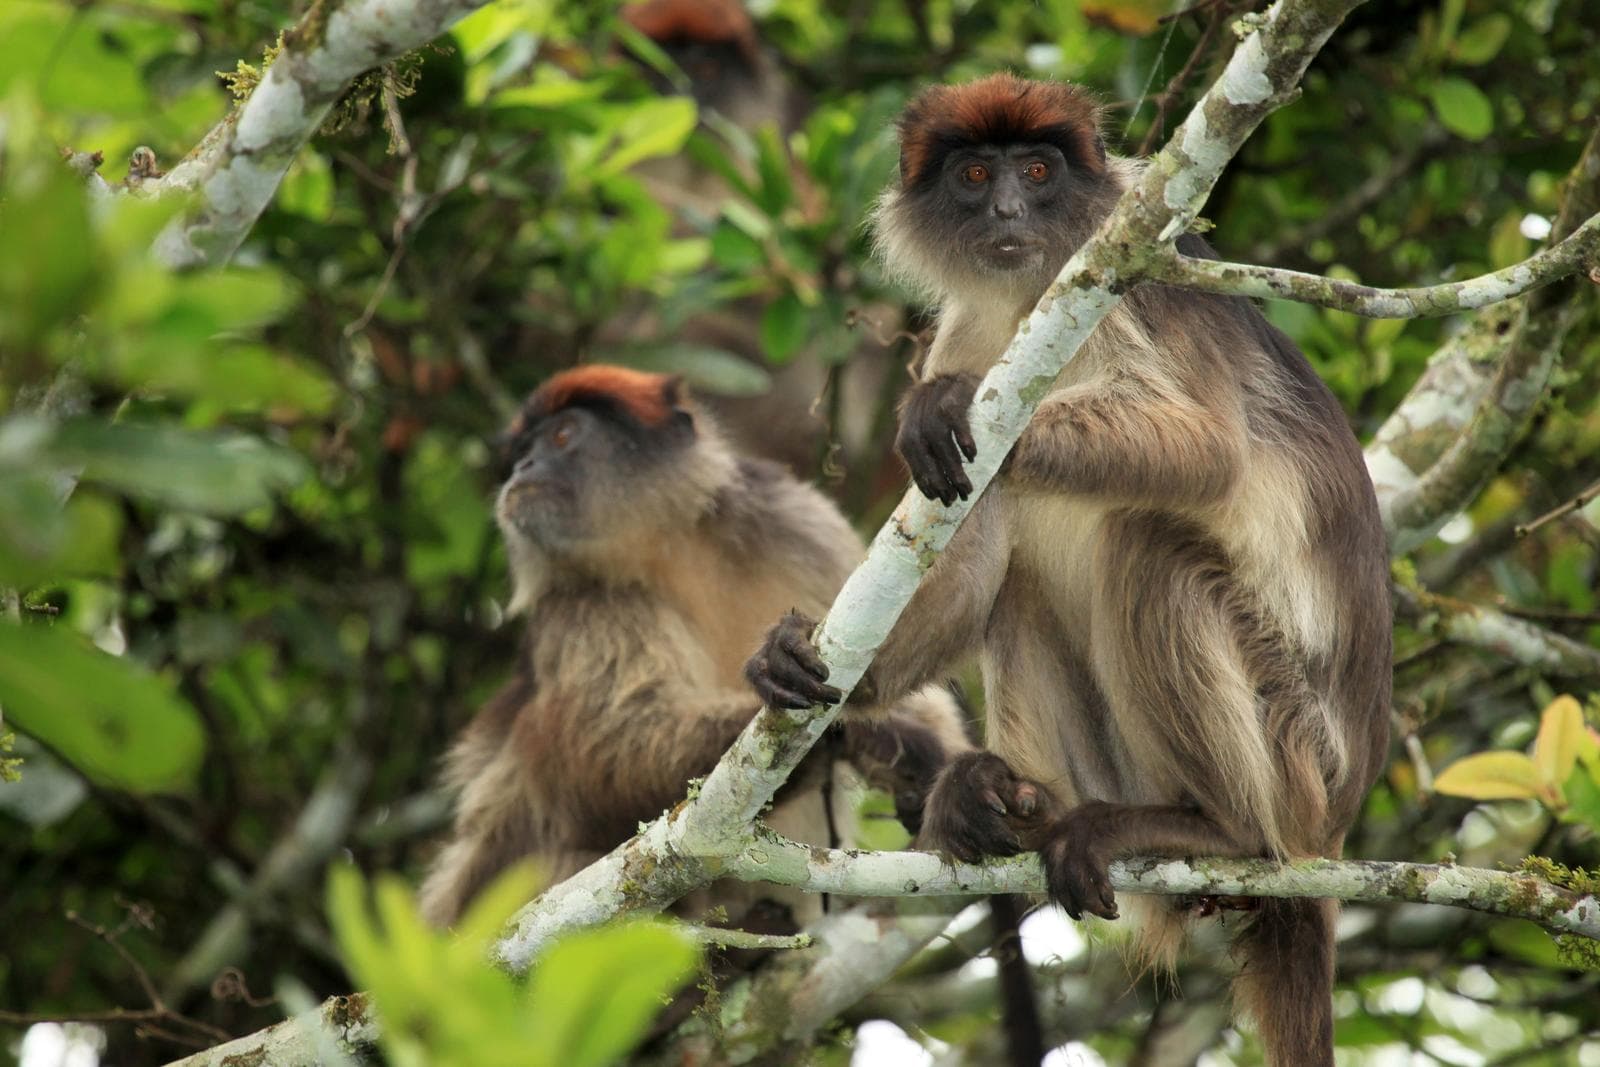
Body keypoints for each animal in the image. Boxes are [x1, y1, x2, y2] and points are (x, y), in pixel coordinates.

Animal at [417, 365, 972, 931]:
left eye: (563, 436)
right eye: (524, 450)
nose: (524, 466)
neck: (671, 547)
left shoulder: (793, 515)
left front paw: (956, 793)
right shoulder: (579, 603)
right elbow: (602, 748)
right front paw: (861, 736)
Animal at [745, 74, 1392, 1066]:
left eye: (1040, 172)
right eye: (976, 175)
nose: (1008, 211)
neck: (1028, 303)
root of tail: (1336, 821)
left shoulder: (1148, 284)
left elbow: (1212, 454)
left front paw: (937, 406)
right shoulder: (967, 327)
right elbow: (957, 539)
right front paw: (809, 664)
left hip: (1296, 754)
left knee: (1148, 543)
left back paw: (1218, 828)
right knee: (1014, 586)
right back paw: (1019, 801)